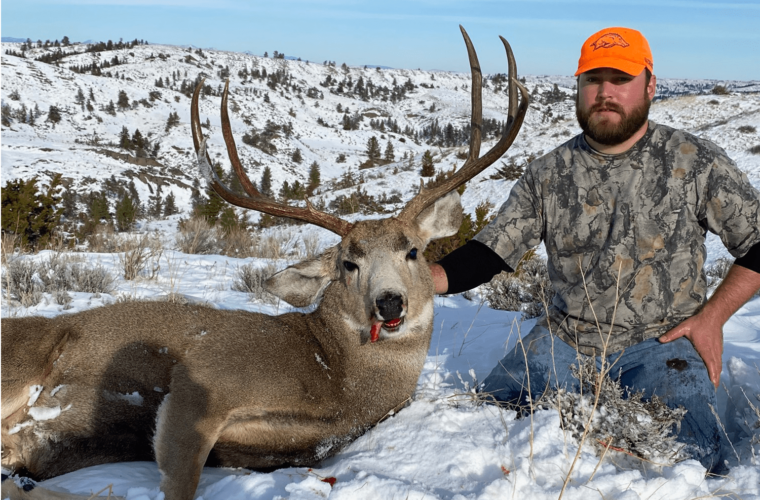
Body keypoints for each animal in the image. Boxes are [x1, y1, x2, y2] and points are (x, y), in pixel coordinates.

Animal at [0, 26, 528, 500]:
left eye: (413, 251)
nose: (390, 303)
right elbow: (181, 481)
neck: (337, 383)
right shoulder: (205, 379)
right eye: (348, 264)